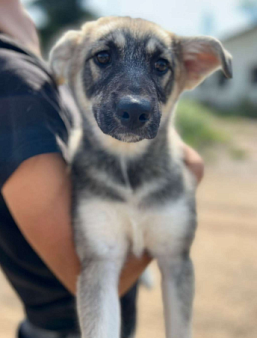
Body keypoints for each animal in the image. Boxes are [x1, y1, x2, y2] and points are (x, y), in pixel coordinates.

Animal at [49, 16, 231, 338]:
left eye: (161, 65)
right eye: (103, 57)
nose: (135, 110)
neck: (129, 171)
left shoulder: (176, 257)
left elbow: (180, 327)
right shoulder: (101, 258)